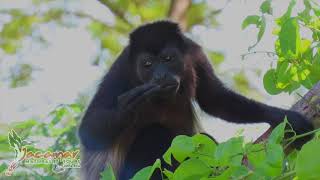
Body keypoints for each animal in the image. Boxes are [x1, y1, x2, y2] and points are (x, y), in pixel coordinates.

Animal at [79, 20, 314, 179]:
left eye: (167, 58)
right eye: (147, 64)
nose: (160, 76)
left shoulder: (194, 52)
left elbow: (215, 99)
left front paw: (284, 117)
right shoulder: (121, 69)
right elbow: (88, 131)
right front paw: (131, 104)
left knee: (202, 138)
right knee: (153, 134)